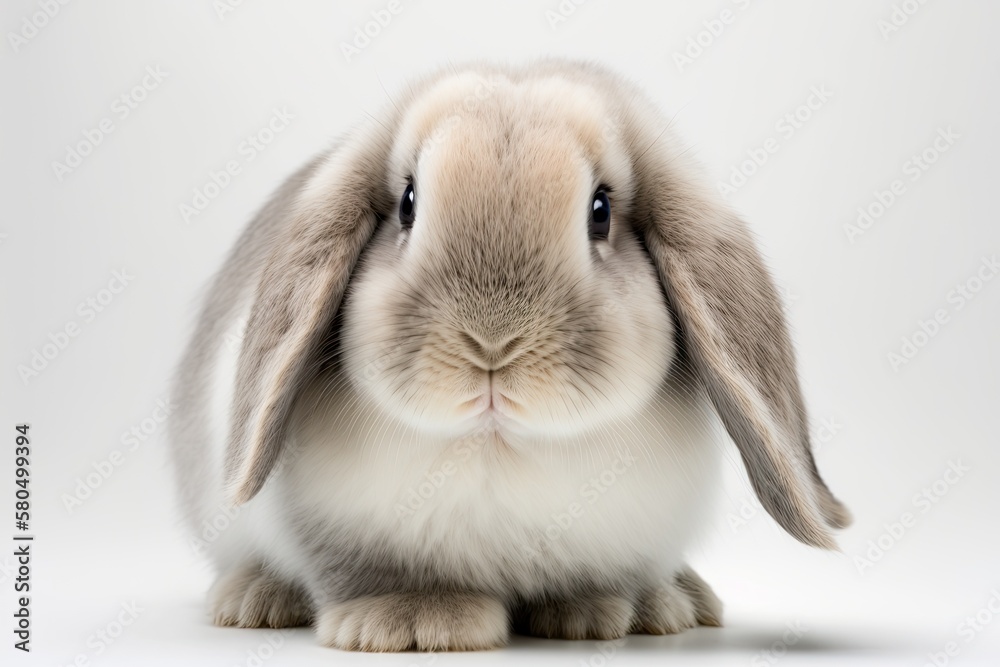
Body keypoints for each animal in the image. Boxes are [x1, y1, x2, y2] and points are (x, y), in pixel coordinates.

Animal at [170, 58, 852, 652]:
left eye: (600, 212)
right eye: (407, 203)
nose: (492, 344)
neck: (497, 447)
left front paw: (595, 614)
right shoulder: (331, 529)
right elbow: (364, 573)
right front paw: (414, 623)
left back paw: (675, 604)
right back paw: (254, 601)